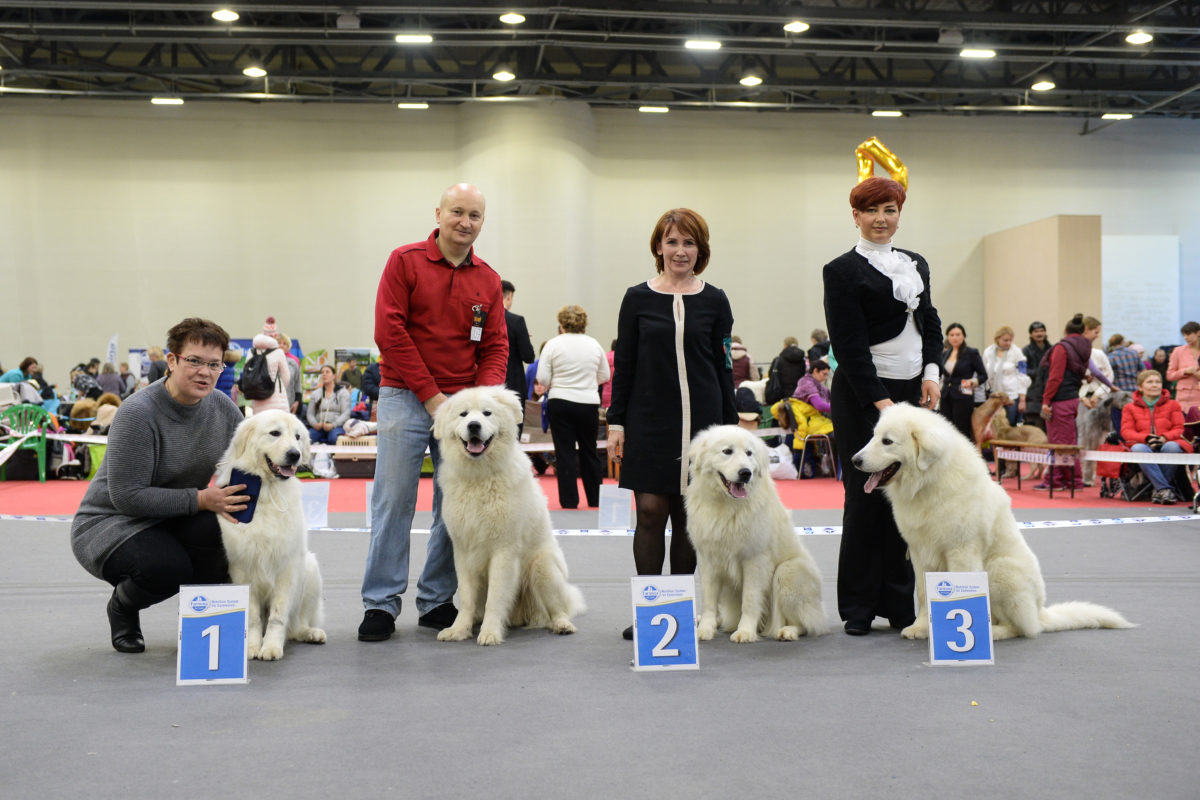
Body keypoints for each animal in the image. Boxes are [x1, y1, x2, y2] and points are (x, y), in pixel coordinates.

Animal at [215, 410, 326, 661]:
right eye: (275, 433)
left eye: (297, 436)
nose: (294, 454)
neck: (266, 490)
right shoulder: (243, 569)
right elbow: (254, 618)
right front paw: (252, 648)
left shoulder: (287, 568)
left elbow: (277, 616)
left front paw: (272, 648)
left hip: (311, 570)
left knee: (297, 624)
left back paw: (312, 633)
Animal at [431, 386, 585, 646]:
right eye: (464, 414)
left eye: (487, 413)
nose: (474, 426)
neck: (480, 477)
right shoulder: (463, 551)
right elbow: (467, 597)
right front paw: (459, 630)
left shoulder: (504, 550)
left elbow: (496, 597)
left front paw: (490, 633)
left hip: (542, 566)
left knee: (558, 608)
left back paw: (563, 625)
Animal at [685, 425, 828, 642]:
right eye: (727, 451)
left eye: (749, 453)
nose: (745, 473)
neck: (726, 506)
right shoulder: (707, 559)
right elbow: (709, 599)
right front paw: (705, 629)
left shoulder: (755, 560)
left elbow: (750, 600)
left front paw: (745, 632)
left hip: (788, 571)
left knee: (807, 623)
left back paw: (787, 631)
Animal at [853, 404, 1133, 640]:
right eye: (874, 437)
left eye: (887, 441)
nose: (855, 460)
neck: (928, 482)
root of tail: (1040, 611)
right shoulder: (921, 552)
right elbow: (922, 594)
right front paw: (921, 628)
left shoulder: (961, 552)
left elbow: (959, 595)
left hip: (1001, 570)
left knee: (1022, 628)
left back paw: (995, 632)